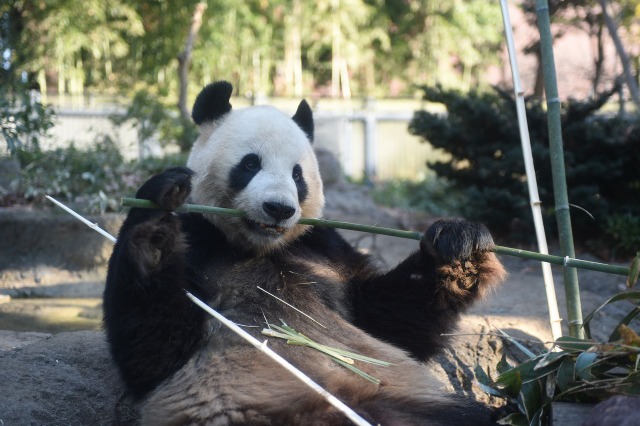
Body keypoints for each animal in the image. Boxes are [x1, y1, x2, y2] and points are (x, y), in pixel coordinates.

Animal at [104, 80, 504, 426]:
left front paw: (460, 249)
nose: (279, 209)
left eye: (297, 175)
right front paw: (156, 223)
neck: (257, 247)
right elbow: (153, 349)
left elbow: (393, 322)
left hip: (416, 400)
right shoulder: (199, 240)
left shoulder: (324, 249)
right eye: (250, 164)